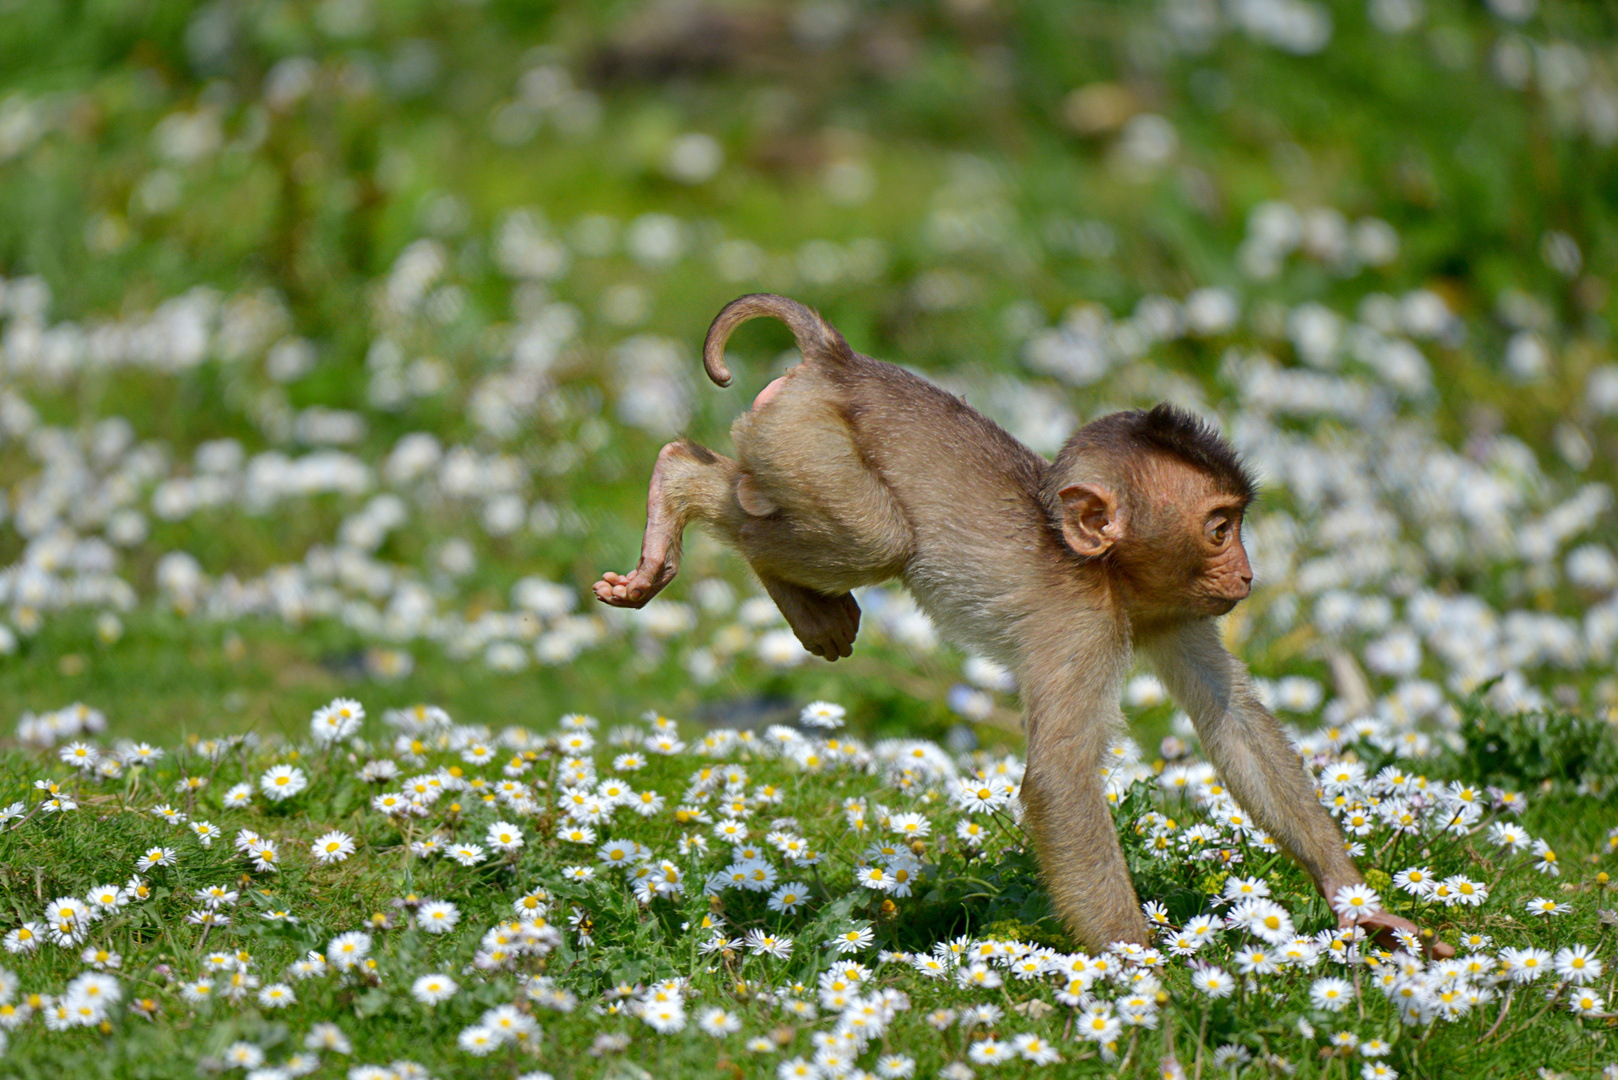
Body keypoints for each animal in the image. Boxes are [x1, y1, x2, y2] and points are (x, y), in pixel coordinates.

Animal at [595, 293, 1443, 952]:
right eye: (1219, 528)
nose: (1246, 572)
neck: (1106, 574)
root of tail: (840, 363)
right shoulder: (1083, 628)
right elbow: (1061, 780)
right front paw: (1140, 964)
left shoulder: (1171, 612)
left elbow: (1231, 724)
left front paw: (1358, 906)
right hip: (804, 440)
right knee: (875, 536)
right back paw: (682, 482)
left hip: (791, 442)